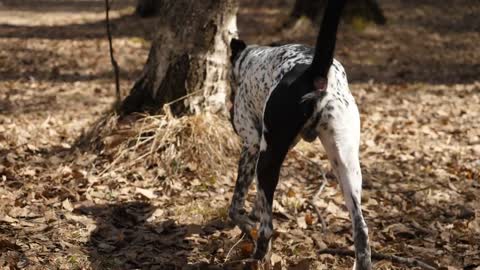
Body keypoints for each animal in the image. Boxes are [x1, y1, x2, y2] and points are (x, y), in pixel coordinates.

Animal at [228, 1, 372, 268]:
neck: (253, 59)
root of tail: (315, 72)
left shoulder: (251, 145)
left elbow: (236, 204)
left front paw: (245, 221)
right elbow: (259, 199)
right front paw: (253, 212)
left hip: (267, 160)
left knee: (267, 229)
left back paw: (257, 255)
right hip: (346, 165)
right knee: (362, 231)